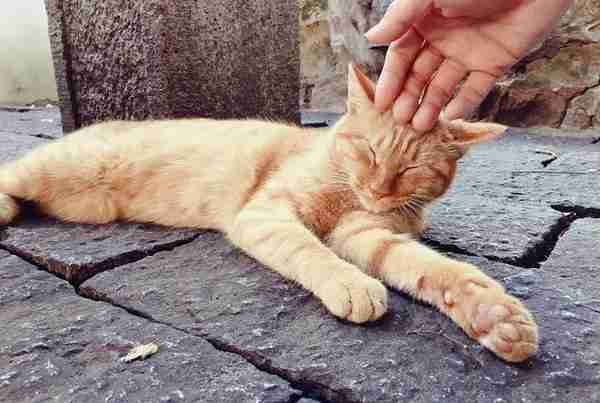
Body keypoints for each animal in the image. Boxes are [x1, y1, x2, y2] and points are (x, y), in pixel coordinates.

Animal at [0, 65, 540, 362]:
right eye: (369, 150)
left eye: (410, 169)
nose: (377, 188)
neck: (346, 191)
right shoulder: (267, 215)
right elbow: (311, 251)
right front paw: (351, 285)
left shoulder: (365, 232)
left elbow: (432, 268)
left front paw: (494, 315)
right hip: (54, 169)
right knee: (9, 173)